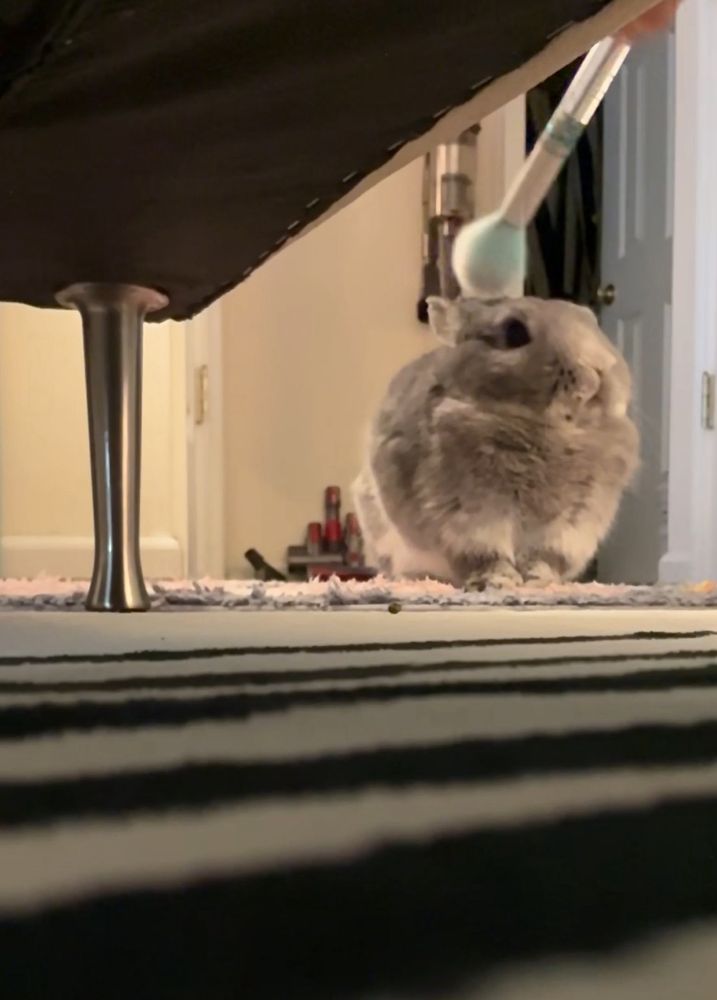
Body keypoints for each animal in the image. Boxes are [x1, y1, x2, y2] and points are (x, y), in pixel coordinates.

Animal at [353, 295, 639, 590]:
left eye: (591, 321)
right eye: (514, 332)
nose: (597, 369)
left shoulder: (572, 523)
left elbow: (545, 557)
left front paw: (539, 581)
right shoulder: (470, 517)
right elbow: (487, 555)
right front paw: (500, 581)